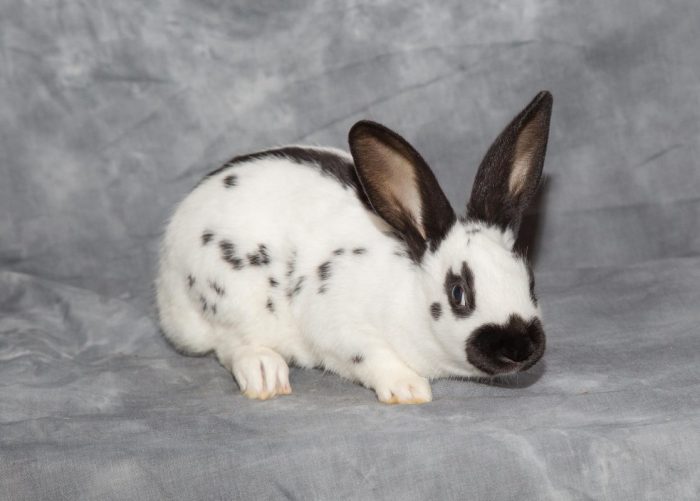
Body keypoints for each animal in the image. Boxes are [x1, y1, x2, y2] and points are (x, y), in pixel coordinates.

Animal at [156, 91, 552, 404]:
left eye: (531, 281)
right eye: (458, 293)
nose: (521, 348)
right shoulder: (338, 326)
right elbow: (372, 356)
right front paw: (408, 388)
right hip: (229, 299)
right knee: (231, 344)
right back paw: (266, 374)